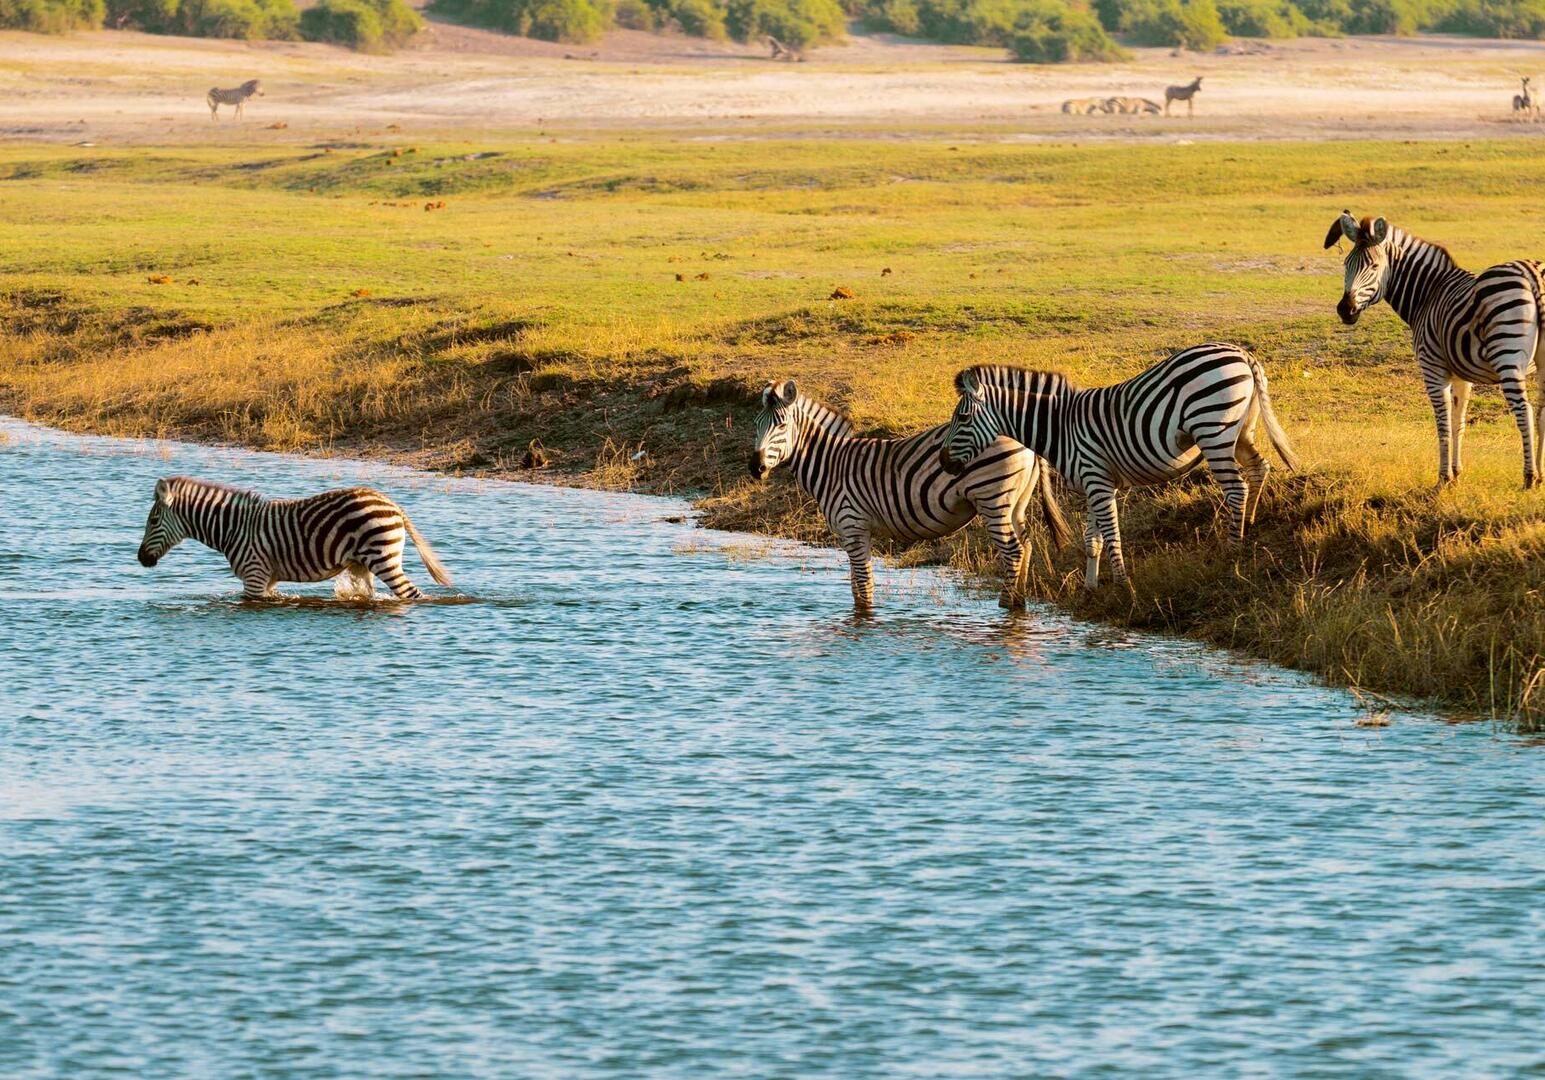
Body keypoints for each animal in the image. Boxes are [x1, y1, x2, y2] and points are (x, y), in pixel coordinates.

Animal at [137, 476, 451, 600]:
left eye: (152, 522)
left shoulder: (254, 574)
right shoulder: (267, 579)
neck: (233, 528)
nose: (140, 559)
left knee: (412, 594)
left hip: (384, 559)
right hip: (363, 565)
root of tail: (393, 504)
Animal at [750, 380, 1072, 610]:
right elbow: (857, 585)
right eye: (756, 426)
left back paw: (1006, 605)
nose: (755, 468)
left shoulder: (853, 526)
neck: (832, 466)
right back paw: (1017, 603)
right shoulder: (855, 532)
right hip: (1016, 502)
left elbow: (863, 586)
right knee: (1026, 545)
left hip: (994, 498)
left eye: (781, 425)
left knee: (1013, 550)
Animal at [938, 344, 1299, 590]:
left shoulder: (1096, 480)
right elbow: (1092, 539)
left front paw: (1124, 586)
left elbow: (1112, 536)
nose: (943, 461)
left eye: (963, 418)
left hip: (1213, 429)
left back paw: (1231, 551)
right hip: (1241, 431)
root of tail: (1242, 354)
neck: (1060, 426)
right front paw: (1090, 587)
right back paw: (1248, 524)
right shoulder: (1095, 483)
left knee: (1236, 488)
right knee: (1260, 467)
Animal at [1326, 210, 1545, 488]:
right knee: (1541, 413)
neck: (1428, 294)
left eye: (1374, 266)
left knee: (1524, 411)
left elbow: (1442, 422)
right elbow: (1458, 420)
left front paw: (1443, 478)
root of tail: (1533, 275)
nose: (1345, 310)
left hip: (1507, 357)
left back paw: (1529, 477)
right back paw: (1541, 476)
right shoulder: (1462, 372)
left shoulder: (1432, 367)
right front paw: (1457, 472)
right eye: (1346, 264)